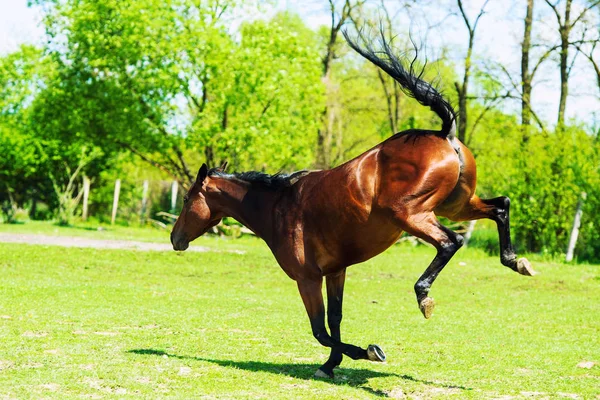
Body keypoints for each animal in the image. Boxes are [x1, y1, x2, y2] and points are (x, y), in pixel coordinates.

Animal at [170, 33, 536, 378]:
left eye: (187, 198)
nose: (175, 239)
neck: (279, 206)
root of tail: (443, 134)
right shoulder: (335, 271)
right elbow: (335, 320)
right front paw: (332, 364)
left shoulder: (307, 279)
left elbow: (319, 329)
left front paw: (369, 352)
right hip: (456, 205)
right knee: (500, 206)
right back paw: (516, 262)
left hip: (411, 215)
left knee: (451, 241)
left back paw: (425, 296)